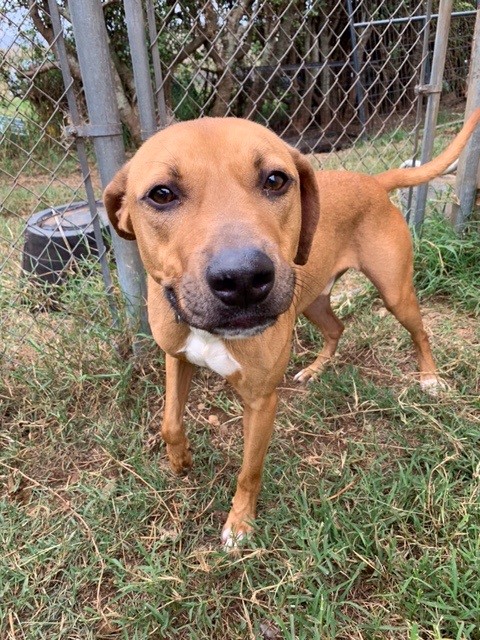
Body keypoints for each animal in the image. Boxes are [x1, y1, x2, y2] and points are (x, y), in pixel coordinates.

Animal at [104, 111, 480, 544]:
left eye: (275, 180)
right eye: (161, 194)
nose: (243, 278)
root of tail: (372, 180)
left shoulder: (261, 402)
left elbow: (249, 471)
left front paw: (240, 523)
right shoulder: (176, 355)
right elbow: (169, 422)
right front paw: (180, 461)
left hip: (395, 293)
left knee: (418, 332)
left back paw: (430, 378)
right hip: (313, 299)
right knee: (337, 328)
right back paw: (316, 369)